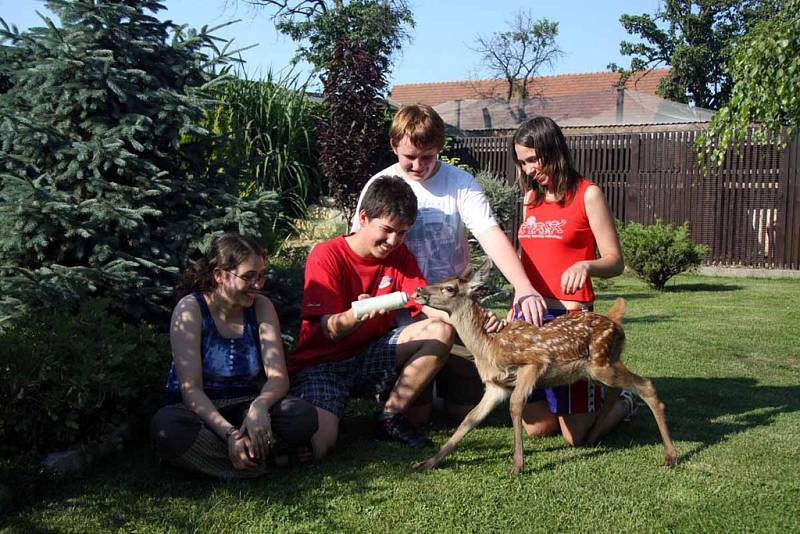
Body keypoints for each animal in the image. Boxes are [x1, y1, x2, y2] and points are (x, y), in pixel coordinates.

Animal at [412, 262, 676, 476]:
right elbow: (470, 419)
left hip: (602, 363)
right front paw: (427, 463)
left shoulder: (534, 363)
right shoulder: (496, 386)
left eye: (449, 288)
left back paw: (670, 456)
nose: (418, 291)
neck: (489, 346)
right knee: (616, 392)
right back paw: (593, 436)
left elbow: (515, 406)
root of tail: (616, 322)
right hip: (599, 367)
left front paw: (517, 465)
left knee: (645, 384)